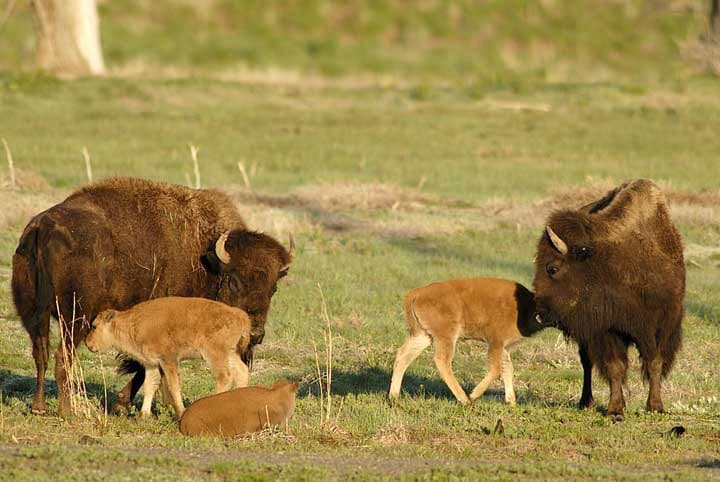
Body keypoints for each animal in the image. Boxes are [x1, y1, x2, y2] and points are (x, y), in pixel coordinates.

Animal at [11, 177, 294, 417]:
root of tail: (42, 227)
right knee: (62, 358)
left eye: (273, 288)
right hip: (74, 319)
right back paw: (67, 411)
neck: (204, 258)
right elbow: (145, 367)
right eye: (234, 281)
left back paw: (39, 407)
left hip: (34, 316)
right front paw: (126, 404)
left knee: (41, 354)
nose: (255, 334)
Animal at [533, 179, 685, 421]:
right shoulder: (607, 331)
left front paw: (655, 406)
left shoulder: (662, 326)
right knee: (587, 363)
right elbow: (616, 368)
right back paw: (585, 402)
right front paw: (615, 410)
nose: (539, 313)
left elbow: (655, 362)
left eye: (552, 268)